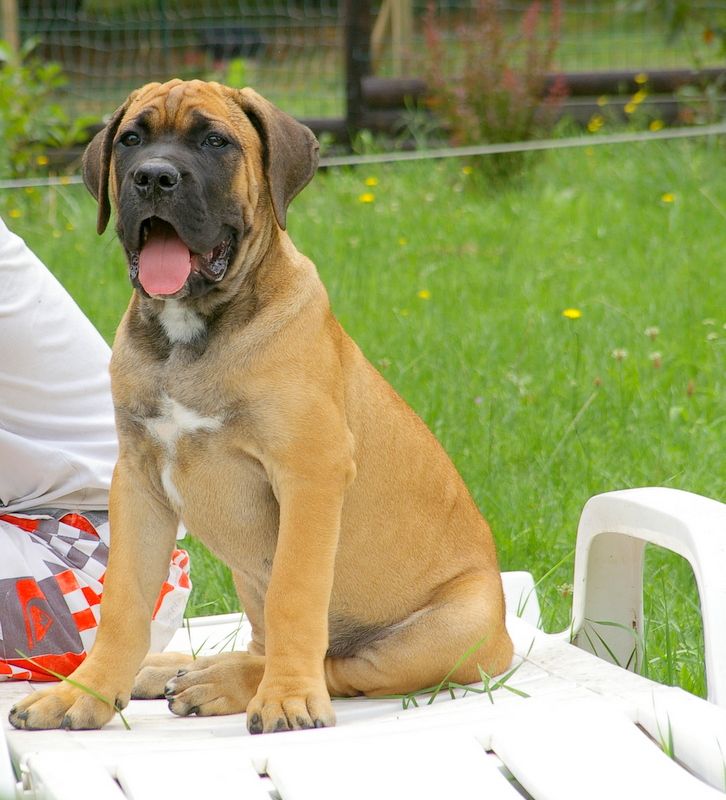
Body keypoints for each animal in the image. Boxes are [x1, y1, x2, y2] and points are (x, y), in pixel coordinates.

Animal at [9, 80, 513, 735]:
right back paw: (175, 668)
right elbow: (123, 602)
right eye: (131, 140)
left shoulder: (309, 472)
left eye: (215, 141)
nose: (153, 178)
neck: (190, 332)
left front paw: (287, 700)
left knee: (335, 663)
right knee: (261, 640)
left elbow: (295, 595)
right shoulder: (138, 479)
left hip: (447, 630)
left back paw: (227, 681)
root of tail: (505, 637)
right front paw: (84, 693)